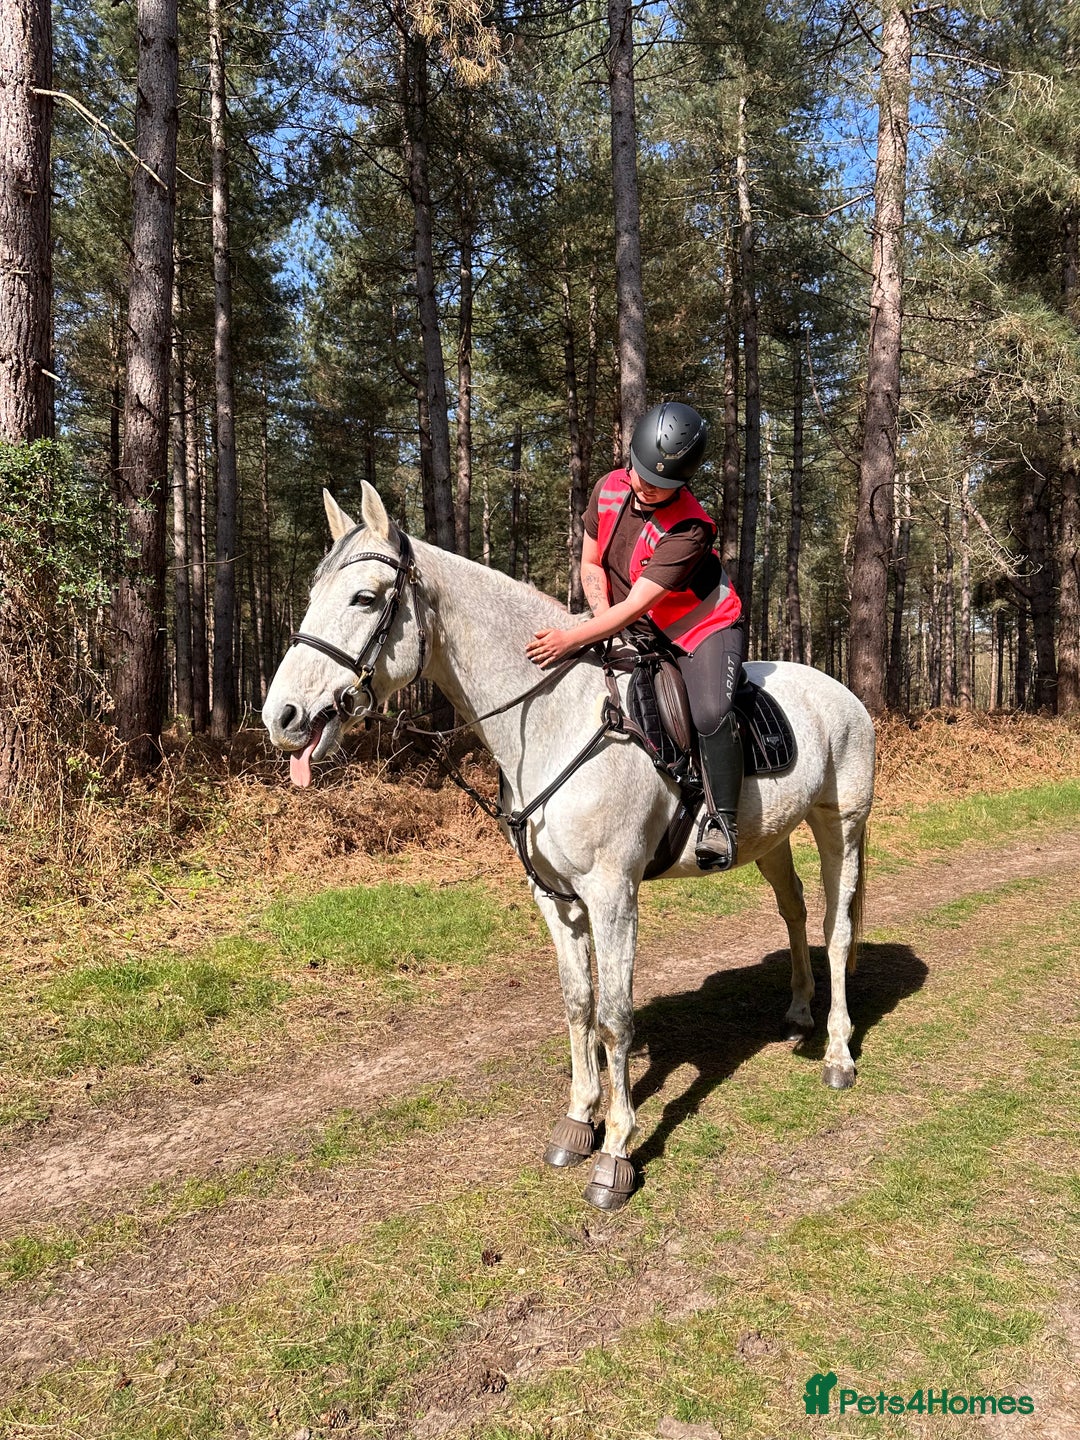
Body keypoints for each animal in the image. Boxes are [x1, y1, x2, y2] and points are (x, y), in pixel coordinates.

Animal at [263, 484, 875, 1211]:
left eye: (363, 597)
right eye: (310, 593)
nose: (281, 717)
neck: (556, 717)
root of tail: (841, 692)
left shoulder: (612, 893)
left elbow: (614, 1015)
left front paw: (616, 1150)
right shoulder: (555, 898)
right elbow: (578, 1004)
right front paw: (580, 1119)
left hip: (841, 825)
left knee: (837, 927)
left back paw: (837, 1053)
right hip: (772, 838)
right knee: (796, 910)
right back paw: (800, 1010)